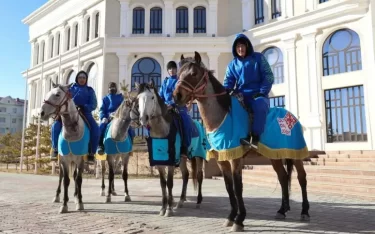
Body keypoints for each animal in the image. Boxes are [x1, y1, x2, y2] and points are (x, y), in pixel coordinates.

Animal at [40, 82, 88, 214]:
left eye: (57, 94)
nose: (42, 113)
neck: (72, 132)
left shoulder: (80, 160)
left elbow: (79, 179)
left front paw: (80, 202)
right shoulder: (65, 160)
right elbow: (66, 180)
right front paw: (64, 205)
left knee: (76, 177)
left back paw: (76, 197)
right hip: (60, 160)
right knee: (61, 177)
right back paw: (57, 197)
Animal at [131, 81, 209, 217]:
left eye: (152, 97)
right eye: (138, 98)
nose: (143, 118)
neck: (161, 131)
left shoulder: (171, 162)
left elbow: (170, 183)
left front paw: (169, 209)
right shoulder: (160, 162)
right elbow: (163, 183)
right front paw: (163, 208)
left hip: (199, 155)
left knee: (199, 176)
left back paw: (198, 202)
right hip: (182, 157)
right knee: (186, 175)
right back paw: (181, 201)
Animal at [174, 51, 312, 230]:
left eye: (193, 73)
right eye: (178, 74)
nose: (176, 96)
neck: (223, 116)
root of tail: (292, 116)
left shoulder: (235, 157)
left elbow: (238, 187)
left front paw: (240, 219)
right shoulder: (222, 159)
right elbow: (228, 187)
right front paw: (231, 216)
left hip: (295, 154)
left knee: (302, 178)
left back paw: (305, 211)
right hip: (275, 156)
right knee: (282, 177)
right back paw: (282, 210)